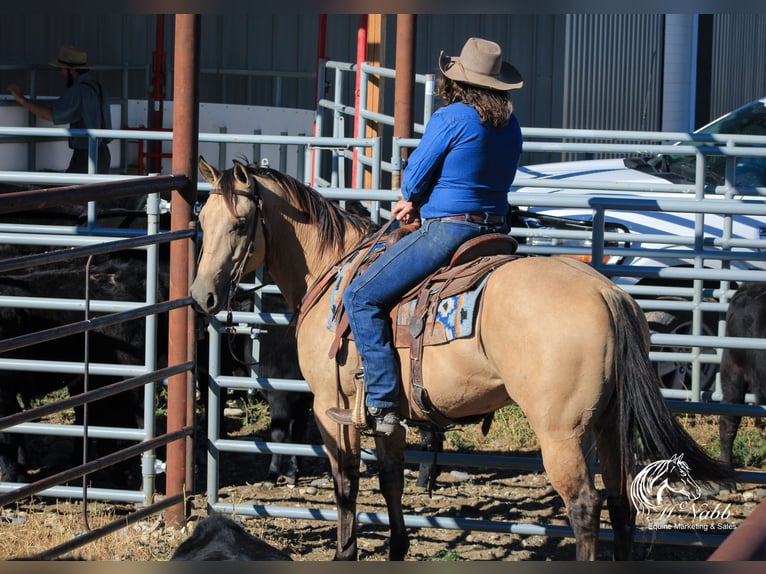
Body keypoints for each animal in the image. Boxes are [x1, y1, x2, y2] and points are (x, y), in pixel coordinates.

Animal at [189, 158, 736, 564]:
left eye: (241, 223)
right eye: (201, 222)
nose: (202, 296)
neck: (335, 271)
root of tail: (608, 294)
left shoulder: (331, 407)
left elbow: (346, 482)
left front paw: (347, 553)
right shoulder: (386, 413)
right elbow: (390, 480)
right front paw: (397, 549)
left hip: (562, 432)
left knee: (585, 507)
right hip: (609, 422)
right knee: (622, 502)